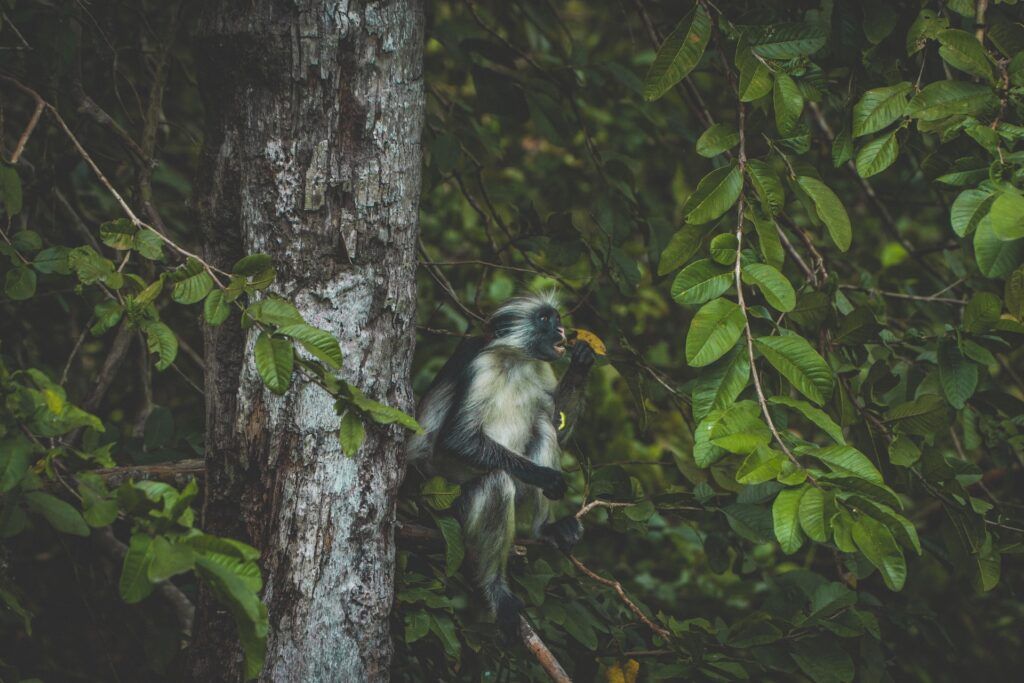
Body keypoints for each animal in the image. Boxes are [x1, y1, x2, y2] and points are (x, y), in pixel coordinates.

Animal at [405, 292, 596, 637]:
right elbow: (456, 439)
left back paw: (546, 529)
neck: (516, 360)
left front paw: (581, 363)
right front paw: (546, 477)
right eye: (545, 320)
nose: (562, 331)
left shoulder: (541, 366)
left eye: (556, 319)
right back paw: (496, 590)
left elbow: (557, 426)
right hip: (445, 503)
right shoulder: (481, 366)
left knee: (543, 425)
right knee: (497, 481)